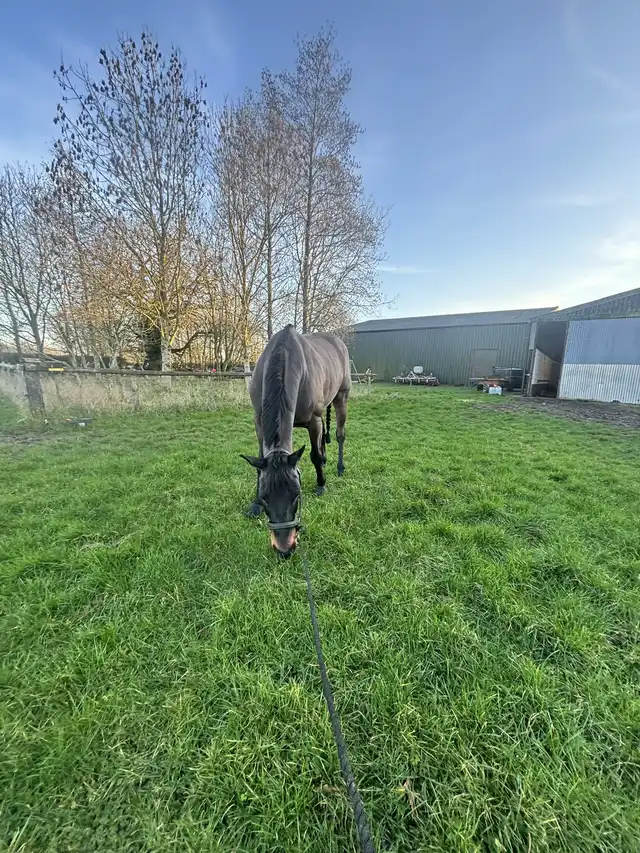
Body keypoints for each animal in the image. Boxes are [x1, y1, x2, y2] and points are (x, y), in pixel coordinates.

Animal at [241, 324, 351, 558]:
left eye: (296, 494)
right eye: (264, 495)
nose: (285, 548)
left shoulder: (313, 421)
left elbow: (314, 455)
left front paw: (321, 485)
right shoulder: (259, 421)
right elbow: (259, 465)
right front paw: (254, 506)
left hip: (341, 397)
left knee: (339, 435)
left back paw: (339, 467)